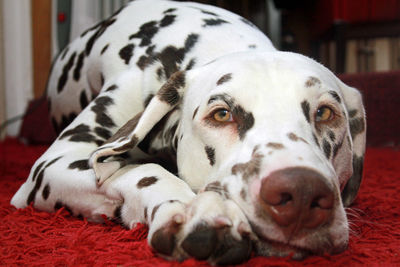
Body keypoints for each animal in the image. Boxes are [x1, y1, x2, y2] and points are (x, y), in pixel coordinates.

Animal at [10, 0, 366, 266]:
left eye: (325, 113)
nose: (302, 193)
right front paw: (192, 209)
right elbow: (140, 169)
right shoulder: (51, 165)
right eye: (222, 114)